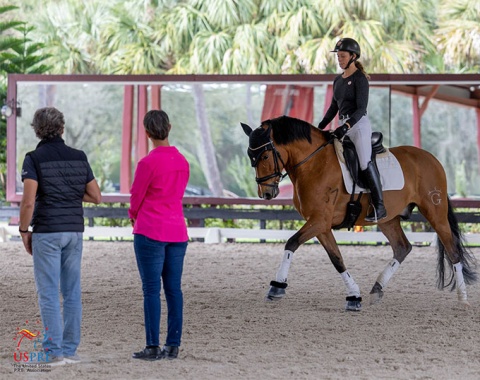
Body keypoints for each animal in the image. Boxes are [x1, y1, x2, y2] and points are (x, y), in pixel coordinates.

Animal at [242, 116, 478, 312]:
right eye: (250, 157)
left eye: (264, 155)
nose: (266, 194)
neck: (314, 163)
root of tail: (432, 159)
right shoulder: (321, 224)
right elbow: (337, 259)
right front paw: (354, 296)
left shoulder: (319, 220)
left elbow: (291, 243)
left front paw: (277, 287)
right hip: (388, 219)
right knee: (402, 247)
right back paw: (376, 289)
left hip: (435, 212)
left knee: (453, 251)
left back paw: (463, 300)